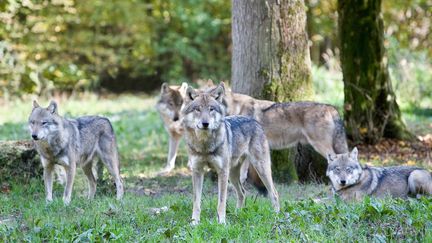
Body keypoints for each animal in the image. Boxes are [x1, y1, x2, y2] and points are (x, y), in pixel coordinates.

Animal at [181, 84, 280, 225]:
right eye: (198, 109)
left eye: (211, 109)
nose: (205, 124)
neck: (205, 145)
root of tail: (254, 121)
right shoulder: (197, 171)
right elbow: (196, 202)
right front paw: (194, 222)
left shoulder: (222, 172)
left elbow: (221, 201)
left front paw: (221, 222)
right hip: (233, 175)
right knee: (242, 193)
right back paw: (237, 214)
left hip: (260, 169)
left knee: (274, 193)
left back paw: (276, 217)